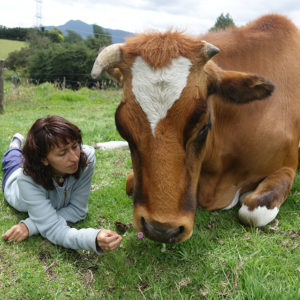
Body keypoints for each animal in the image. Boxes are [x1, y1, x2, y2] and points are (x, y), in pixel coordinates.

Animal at [91, 14, 300, 244]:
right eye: (122, 127)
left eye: (203, 125)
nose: (161, 230)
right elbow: (129, 181)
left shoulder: (288, 166)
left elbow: (253, 212)